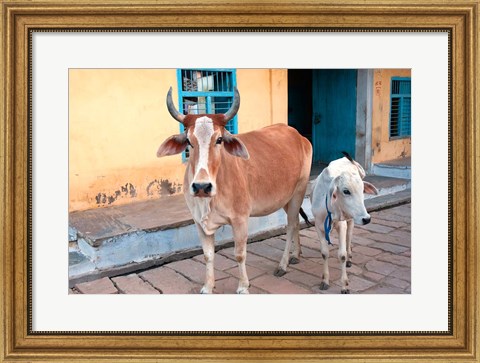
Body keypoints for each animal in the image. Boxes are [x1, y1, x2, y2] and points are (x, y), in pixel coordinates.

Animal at [157, 87, 312, 292]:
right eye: (189, 141)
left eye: (219, 139)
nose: (201, 186)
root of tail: (298, 135)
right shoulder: (198, 222)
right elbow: (208, 255)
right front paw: (208, 287)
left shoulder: (240, 219)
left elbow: (239, 254)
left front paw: (243, 287)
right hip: (286, 197)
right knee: (295, 222)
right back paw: (296, 254)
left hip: (299, 192)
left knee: (290, 225)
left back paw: (283, 264)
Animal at [312, 153, 378, 292]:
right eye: (346, 191)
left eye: (362, 190)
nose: (367, 219)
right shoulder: (318, 226)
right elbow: (324, 253)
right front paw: (325, 280)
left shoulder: (341, 225)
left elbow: (342, 255)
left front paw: (344, 285)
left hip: (351, 220)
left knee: (349, 238)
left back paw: (349, 257)